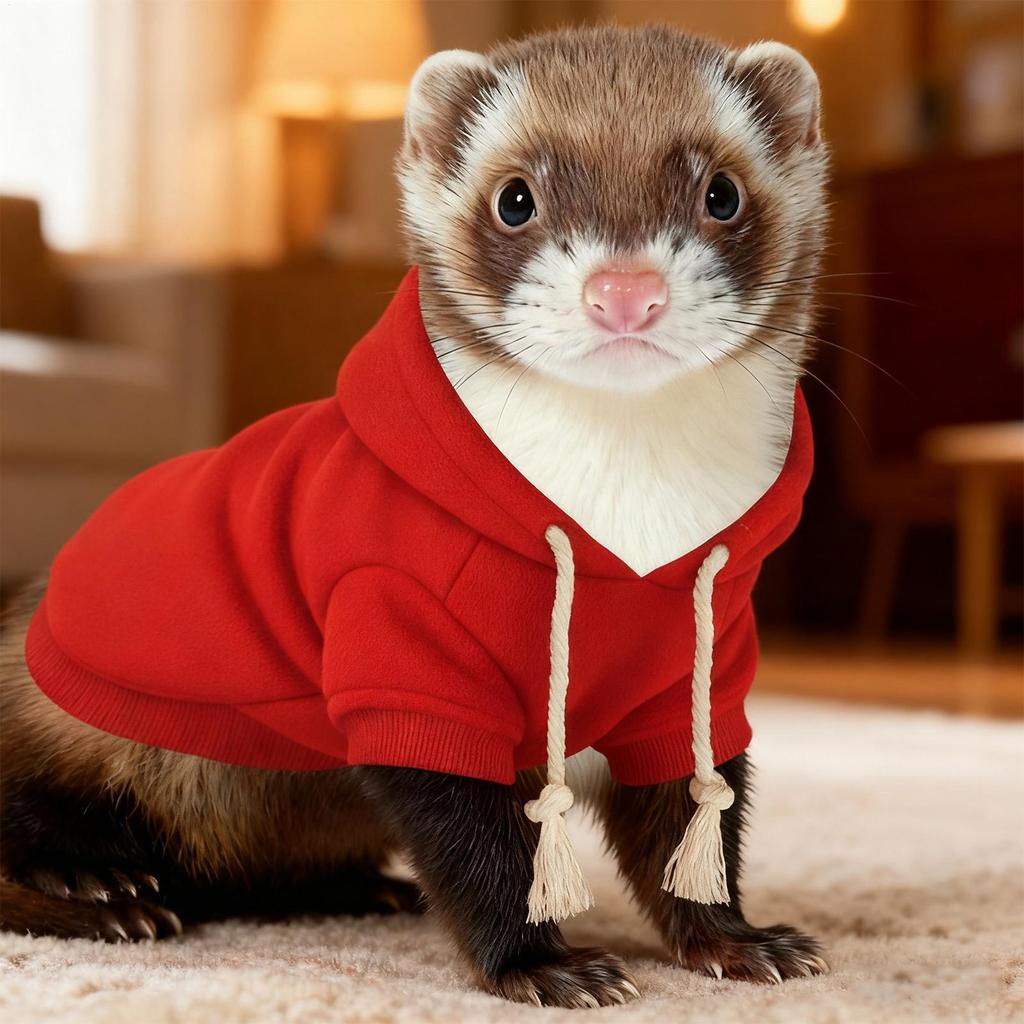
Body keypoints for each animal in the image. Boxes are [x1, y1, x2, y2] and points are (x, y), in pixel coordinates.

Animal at [0, 25, 828, 1008]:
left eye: (722, 191)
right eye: (515, 198)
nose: (624, 290)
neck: (629, 531)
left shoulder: (698, 673)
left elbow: (692, 829)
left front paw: (742, 943)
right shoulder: (404, 650)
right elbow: (480, 844)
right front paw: (546, 966)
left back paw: (357, 886)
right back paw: (100, 884)